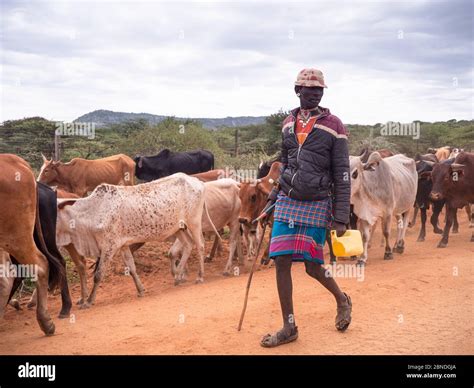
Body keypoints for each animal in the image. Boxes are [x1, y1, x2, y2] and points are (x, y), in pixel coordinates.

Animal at [55, 173, 217, 306]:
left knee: (200, 245)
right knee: (188, 245)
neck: (91, 213)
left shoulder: (109, 247)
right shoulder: (123, 245)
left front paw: (88, 301)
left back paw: (199, 276)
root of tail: (197, 181)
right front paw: (140, 290)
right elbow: (131, 268)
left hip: (194, 222)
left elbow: (98, 274)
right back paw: (177, 277)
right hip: (179, 228)